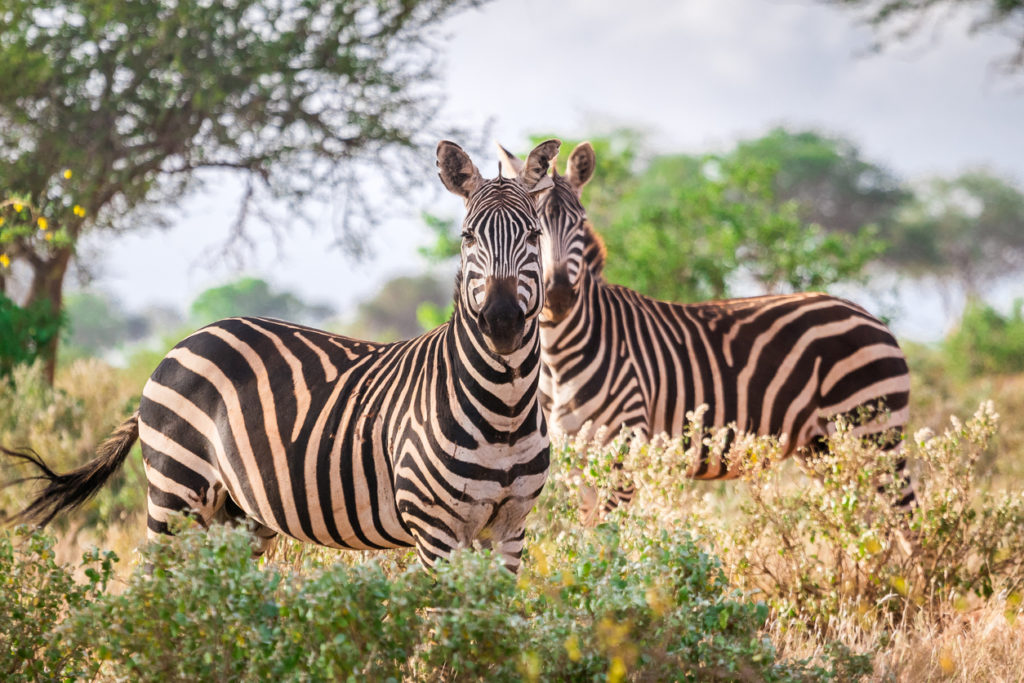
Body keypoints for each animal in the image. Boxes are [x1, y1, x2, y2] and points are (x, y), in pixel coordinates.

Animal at [2, 139, 561, 573]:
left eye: (535, 235)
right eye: (467, 237)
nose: (502, 321)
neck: (505, 407)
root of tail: (186, 341)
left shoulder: (510, 528)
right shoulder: (436, 531)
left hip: (237, 513)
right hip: (175, 491)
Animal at [495, 141, 913, 520]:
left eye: (581, 223)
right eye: (533, 230)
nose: (559, 296)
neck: (559, 357)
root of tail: (872, 318)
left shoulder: (624, 452)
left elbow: (605, 540)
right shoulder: (576, 461)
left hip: (874, 435)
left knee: (906, 521)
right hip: (823, 447)